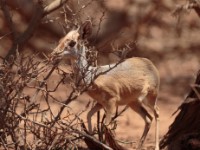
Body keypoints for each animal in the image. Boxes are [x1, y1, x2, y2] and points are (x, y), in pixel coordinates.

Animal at [52, 22, 160, 150]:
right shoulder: (100, 102)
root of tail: (150, 63)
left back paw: (156, 147)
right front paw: (92, 139)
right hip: (133, 103)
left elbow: (105, 125)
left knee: (156, 114)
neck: (92, 76)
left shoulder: (111, 101)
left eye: (72, 42)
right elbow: (89, 115)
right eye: (60, 39)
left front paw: (104, 145)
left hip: (150, 97)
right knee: (148, 119)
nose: (54, 54)